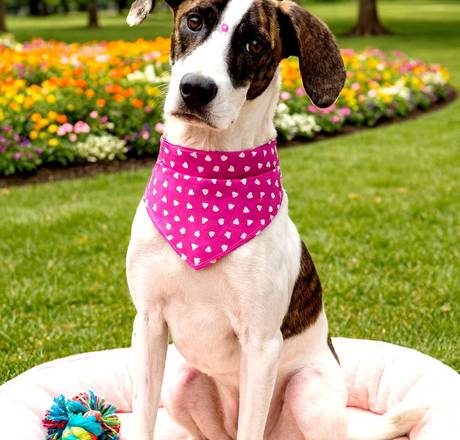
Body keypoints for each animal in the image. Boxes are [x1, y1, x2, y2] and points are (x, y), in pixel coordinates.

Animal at [126, 1, 425, 439]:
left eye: (254, 44)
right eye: (194, 20)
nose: (196, 88)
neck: (208, 181)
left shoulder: (261, 341)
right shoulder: (148, 323)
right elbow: (142, 418)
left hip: (308, 389)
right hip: (181, 380)